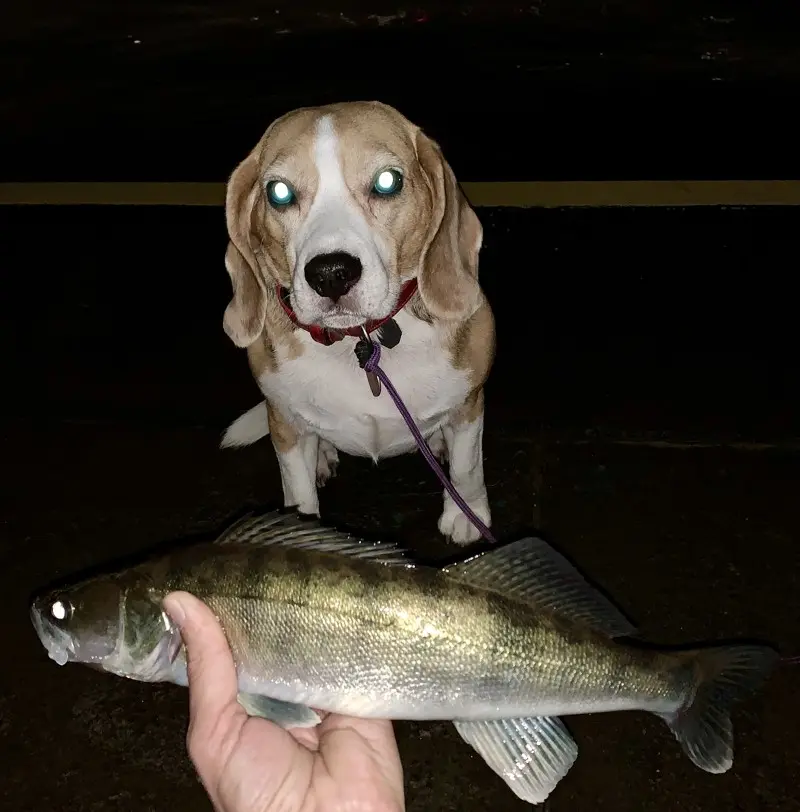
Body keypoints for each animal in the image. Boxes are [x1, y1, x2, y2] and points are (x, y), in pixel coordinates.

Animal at [219, 101, 494, 544]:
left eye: (387, 182)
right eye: (279, 192)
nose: (331, 273)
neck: (361, 339)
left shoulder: (469, 405)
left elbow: (467, 468)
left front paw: (466, 516)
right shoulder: (286, 427)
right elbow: (298, 492)